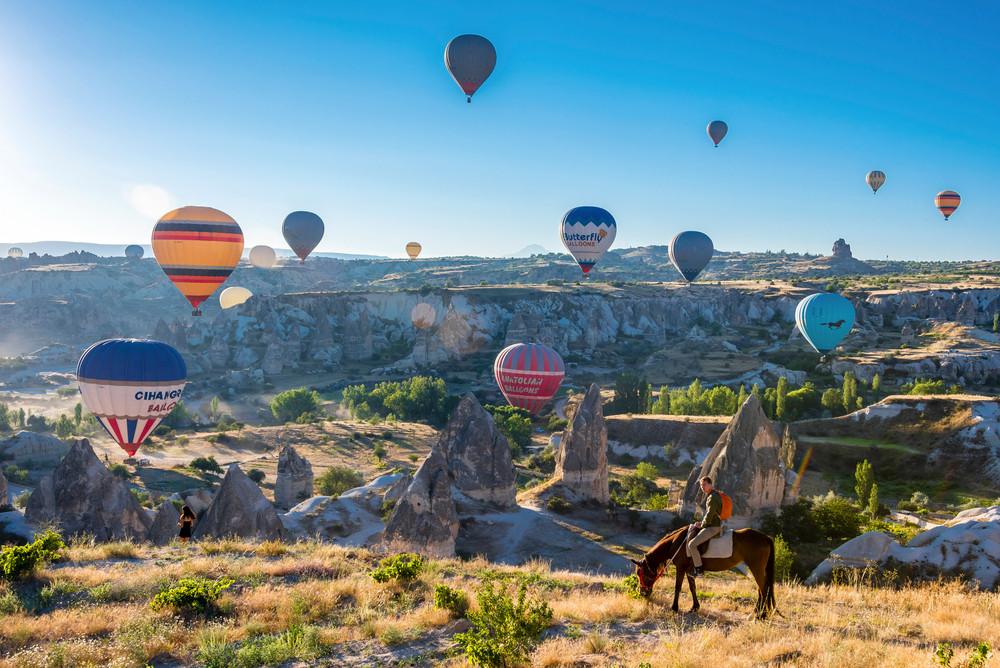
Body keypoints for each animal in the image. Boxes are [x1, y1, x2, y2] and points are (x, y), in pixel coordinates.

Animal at [628, 524, 776, 620]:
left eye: (640, 573)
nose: (642, 593)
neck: (677, 542)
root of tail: (766, 537)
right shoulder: (689, 570)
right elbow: (692, 587)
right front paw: (695, 607)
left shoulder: (681, 568)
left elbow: (677, 587)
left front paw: (674, 607)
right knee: (760, 589)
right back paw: (756, 612)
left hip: (756, 568)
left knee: (763, 589)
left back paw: (761, 615)